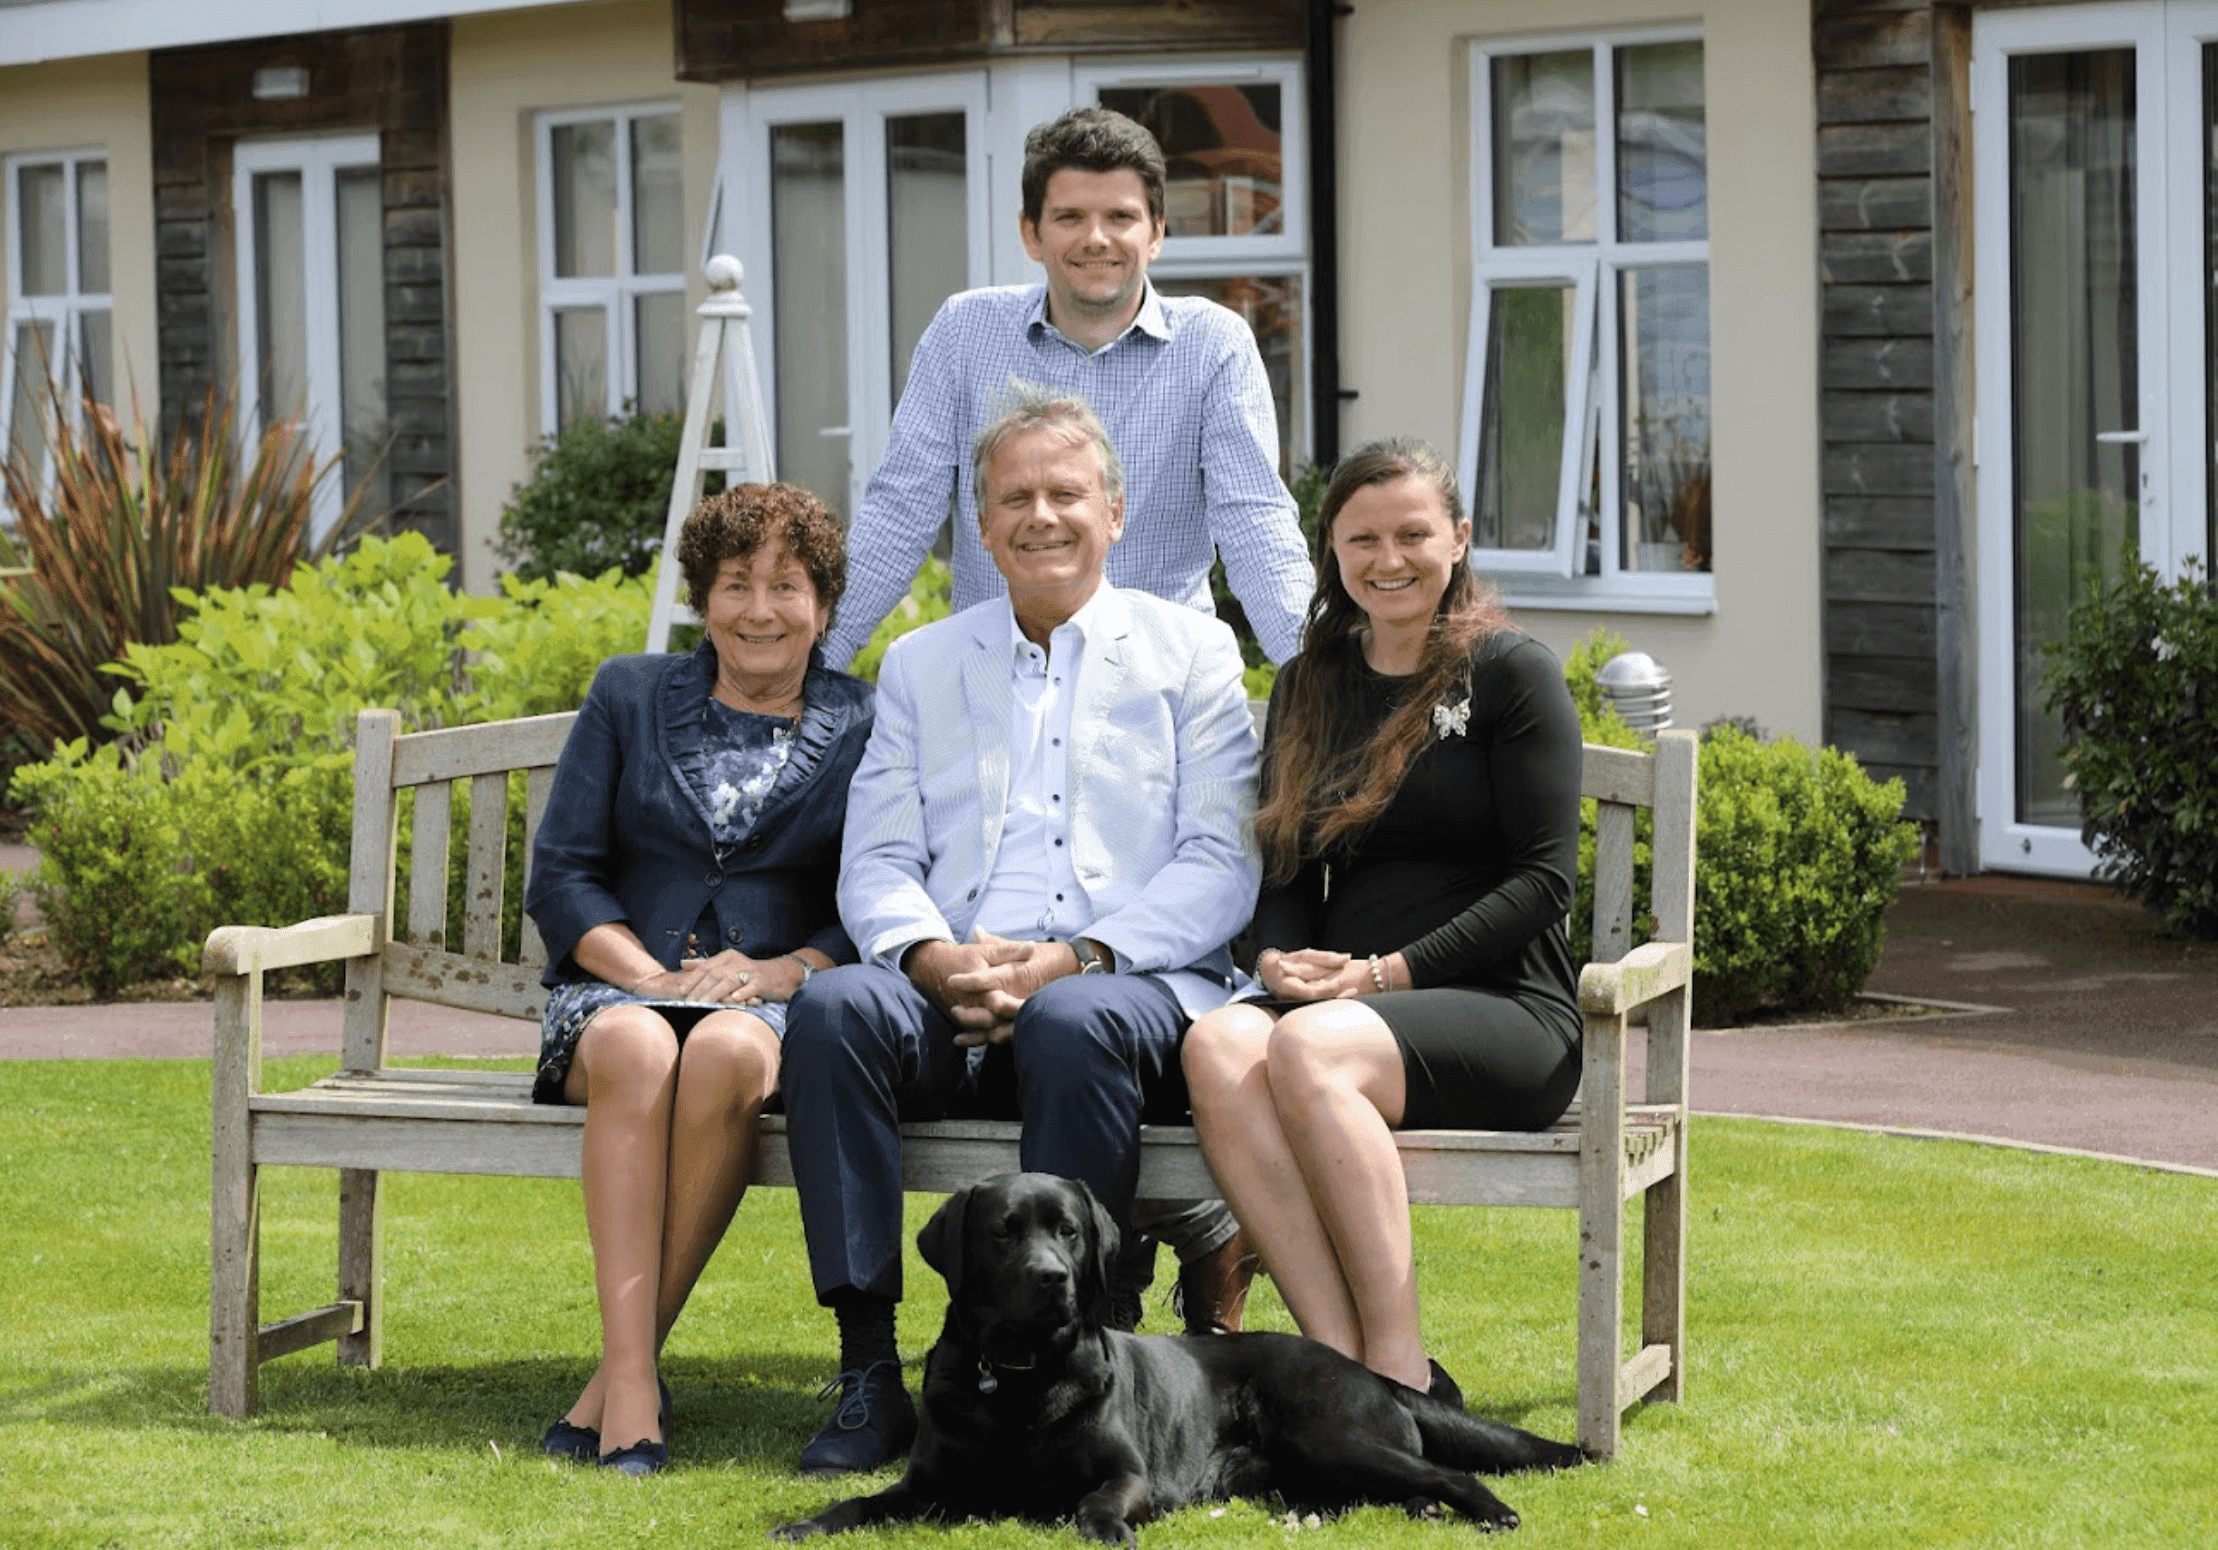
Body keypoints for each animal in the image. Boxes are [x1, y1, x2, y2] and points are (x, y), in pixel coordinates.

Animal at [771, 1170, 1588, 1543]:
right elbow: (861, 1502)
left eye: (1068, 1232)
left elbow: (1097, 1500)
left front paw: (1103, 1530)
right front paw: (806, 1524)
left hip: (1328, 1431)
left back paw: (1490, 1512)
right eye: (1003, 1231)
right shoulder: (928, 1486)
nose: (1052, 1278)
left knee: (1448, 1470)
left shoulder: (1127, 1474)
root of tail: (1366, 1368)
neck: (1021, 1375)